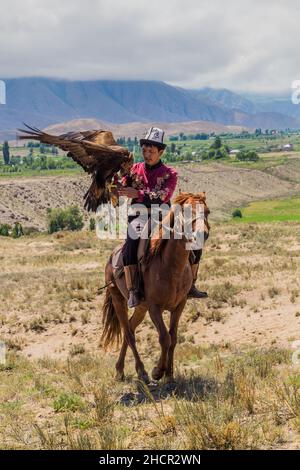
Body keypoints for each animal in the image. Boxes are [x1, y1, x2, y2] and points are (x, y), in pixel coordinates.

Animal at [102, 191, 210, 382]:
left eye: (207, 212)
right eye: (185, 212)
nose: (201, 234)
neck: (170, 265)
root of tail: (112, 257)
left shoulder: (179, 305)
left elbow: (173, 338)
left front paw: (170, 375)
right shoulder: (154, 308)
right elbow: (164, 338)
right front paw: (158, 371)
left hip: (141, 307)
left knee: (130, 328)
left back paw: (121, 369)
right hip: (118, 300)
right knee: (128, 333)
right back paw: (142, 371)